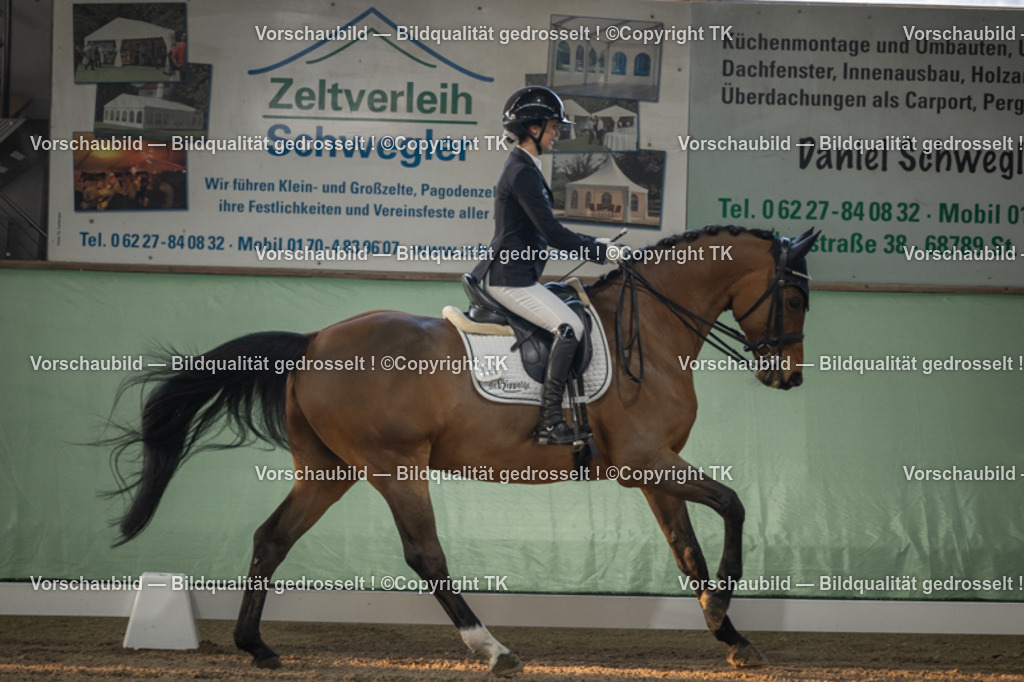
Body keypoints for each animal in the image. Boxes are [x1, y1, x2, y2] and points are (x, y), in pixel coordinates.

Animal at [106, 224, 820, 675]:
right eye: (794, 295)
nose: (788, 377)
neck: (652, 326)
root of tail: (312, 341)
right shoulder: (647, 462)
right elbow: (733, 505)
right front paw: (725, 607)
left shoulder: (651, 472)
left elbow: (688, 552)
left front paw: (732, 636)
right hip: (395, 467)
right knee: (425, 554)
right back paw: (492, 649)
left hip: (330, 470)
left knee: (271, 537)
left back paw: (255, 646)